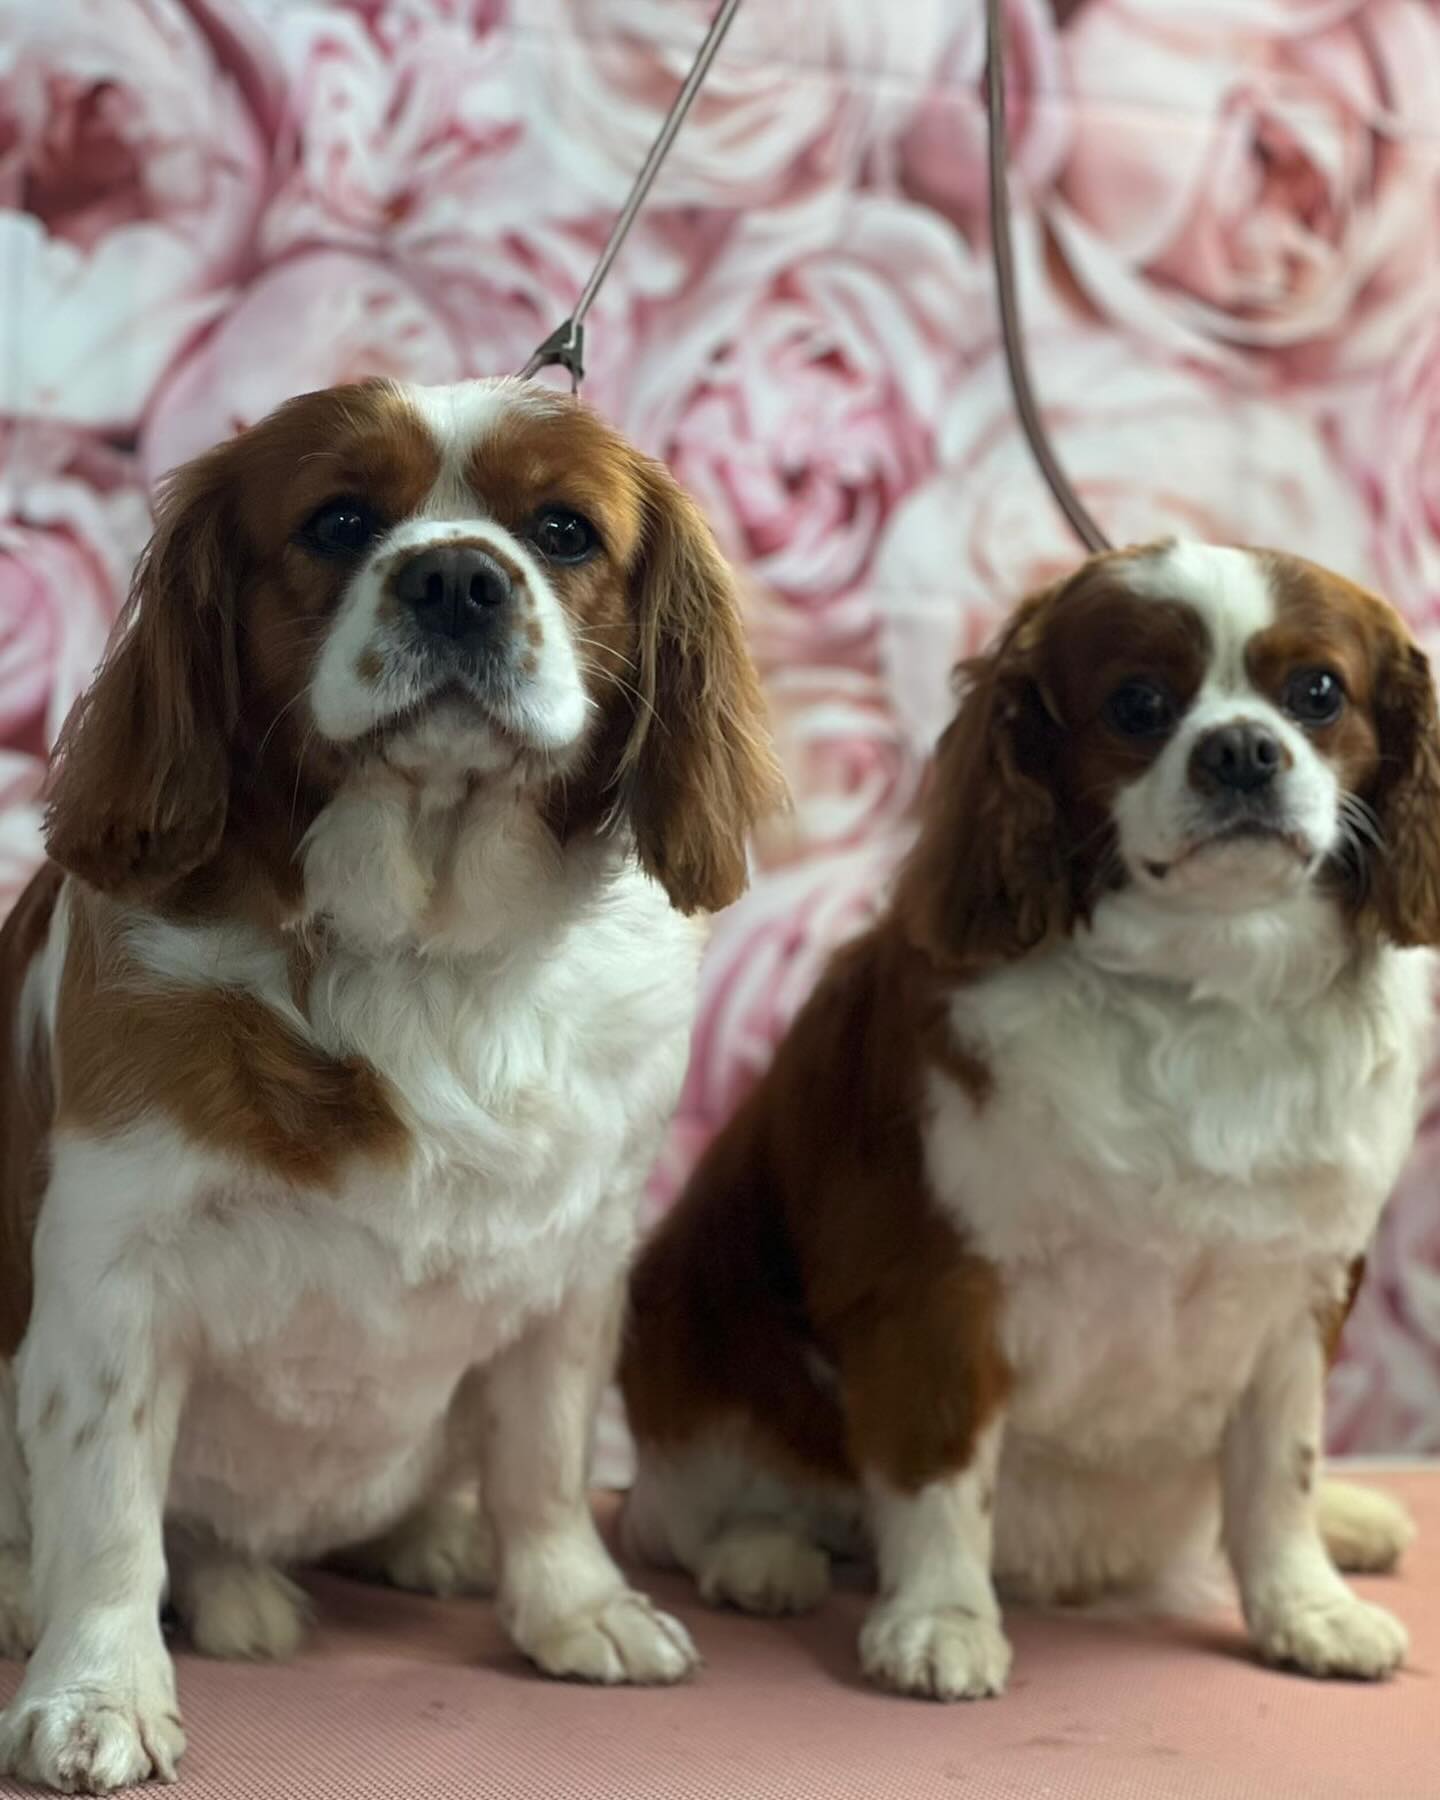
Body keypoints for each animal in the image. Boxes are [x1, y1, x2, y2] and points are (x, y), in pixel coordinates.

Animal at [0, 376, 781, 1791]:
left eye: (565, 531)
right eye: (341, 520)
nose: (458, 577)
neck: (428, 947)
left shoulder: (577, 1264)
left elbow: (546, 1458)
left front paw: (574, 1605)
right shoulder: (108, 1275)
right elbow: (108, 1506)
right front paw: (96, 1689)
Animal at [621, 540, 1433, 1700]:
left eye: (1319, 692)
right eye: (1138, 705)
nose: (1239, 749)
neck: (1206, 983)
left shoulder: (1300, 1290)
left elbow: (1283, 1471)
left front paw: (1305, 1608)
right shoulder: (934, 1278)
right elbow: (941, 1469)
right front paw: (941, 1620)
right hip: (687, 1323)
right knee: (675, 1513)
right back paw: (762, 1555)